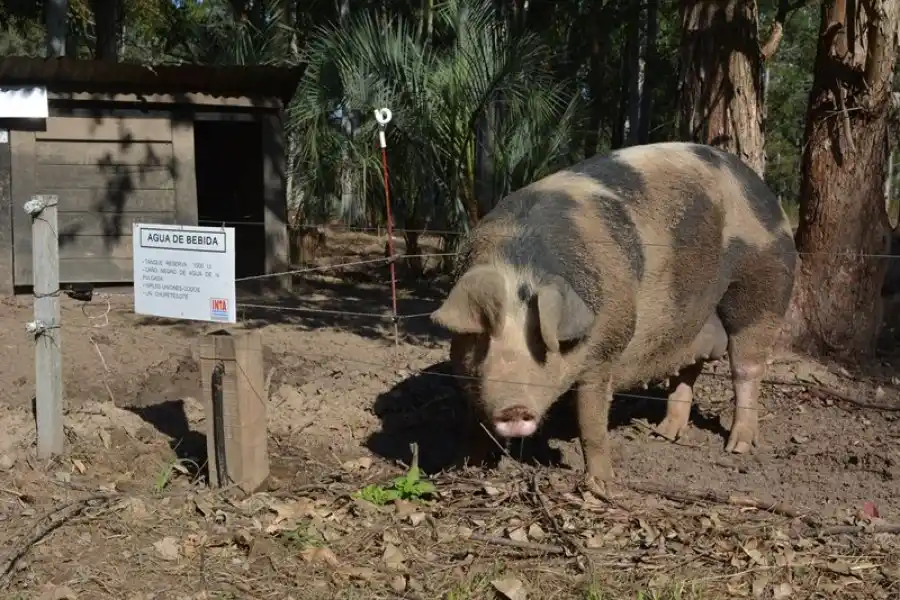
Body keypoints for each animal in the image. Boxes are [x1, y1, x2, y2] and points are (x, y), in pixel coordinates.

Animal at [431, 141, 797, 494]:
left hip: (763, 287)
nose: (513, 408)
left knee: (746, 368)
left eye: (542, 344)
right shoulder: (467, 374)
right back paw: (664, 433)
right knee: (688, 369)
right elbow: (475, 422)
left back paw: (737, 447)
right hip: (691, 319)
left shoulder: (606, 347)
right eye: (482, 339)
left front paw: (602, 486)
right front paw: (464, 467)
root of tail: (764, 192)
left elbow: (591, 419)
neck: (518, 268)